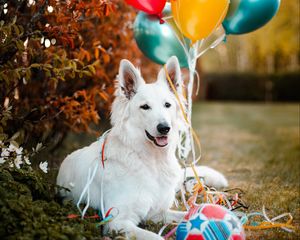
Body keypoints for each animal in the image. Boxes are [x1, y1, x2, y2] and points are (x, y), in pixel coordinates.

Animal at [56, 56, 227, 240]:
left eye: (167, 105)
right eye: (145, 107)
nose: (164, 128)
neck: (152, 161)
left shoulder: (157, 212)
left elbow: (188, 214)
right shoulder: (117, 221)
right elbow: (156, 237)